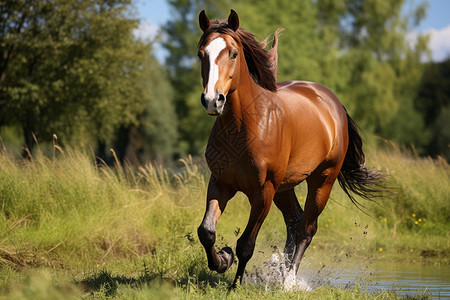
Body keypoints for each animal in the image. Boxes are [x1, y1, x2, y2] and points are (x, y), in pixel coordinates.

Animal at [196, 9, 384, 288]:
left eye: (233, 53)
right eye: (201, 54)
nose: (212, 100)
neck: (243, 126)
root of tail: (333, 103)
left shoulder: (263, 192)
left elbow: (246, 244)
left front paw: (235, 284)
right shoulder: (221, 183)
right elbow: (206, 232)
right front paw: (223, 259)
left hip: (322, 181)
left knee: (306, 229)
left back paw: (289, 281)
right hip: (285, 188)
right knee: (294, 222)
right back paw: (281, 273)